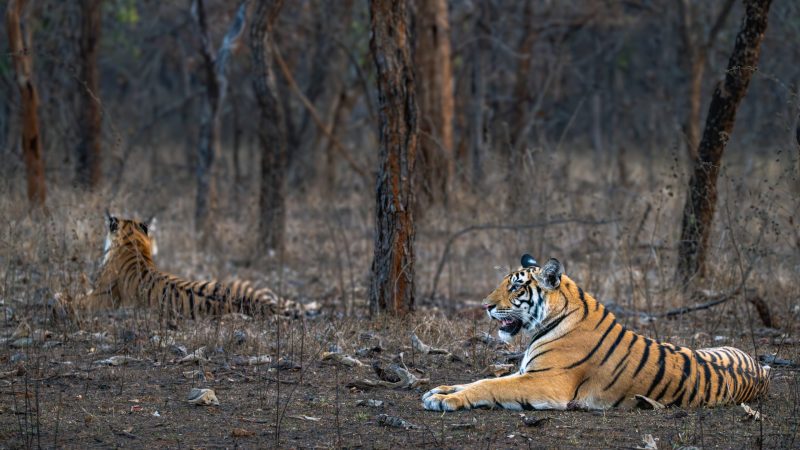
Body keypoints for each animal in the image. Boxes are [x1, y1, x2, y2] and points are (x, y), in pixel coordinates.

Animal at [423, 254, 770, 411]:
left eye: (516, 287)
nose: (485, 306)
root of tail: (762, 369)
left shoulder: (545, 381)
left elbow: (490, 386)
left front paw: (444, 400)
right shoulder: (525, 372)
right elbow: (481, 379)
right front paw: (439, 390)